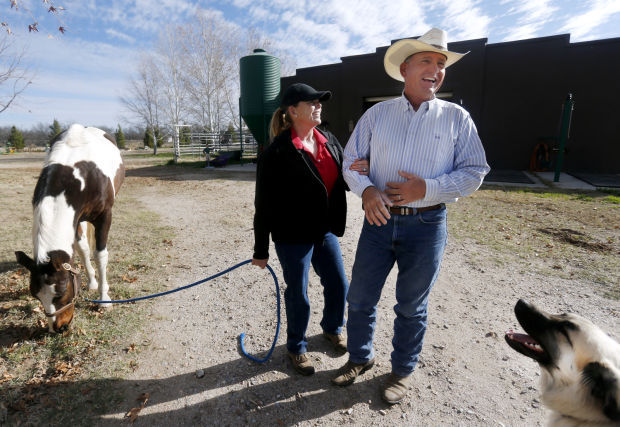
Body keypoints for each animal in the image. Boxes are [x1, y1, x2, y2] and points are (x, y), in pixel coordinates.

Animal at [15, 124, 124, 334]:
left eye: (61, 292)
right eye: (36, 295)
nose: (58, 328)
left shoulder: (104, 216)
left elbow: (100, 255)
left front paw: (104, 299)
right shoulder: (74, 220)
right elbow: (83, 250)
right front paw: (92, 282)